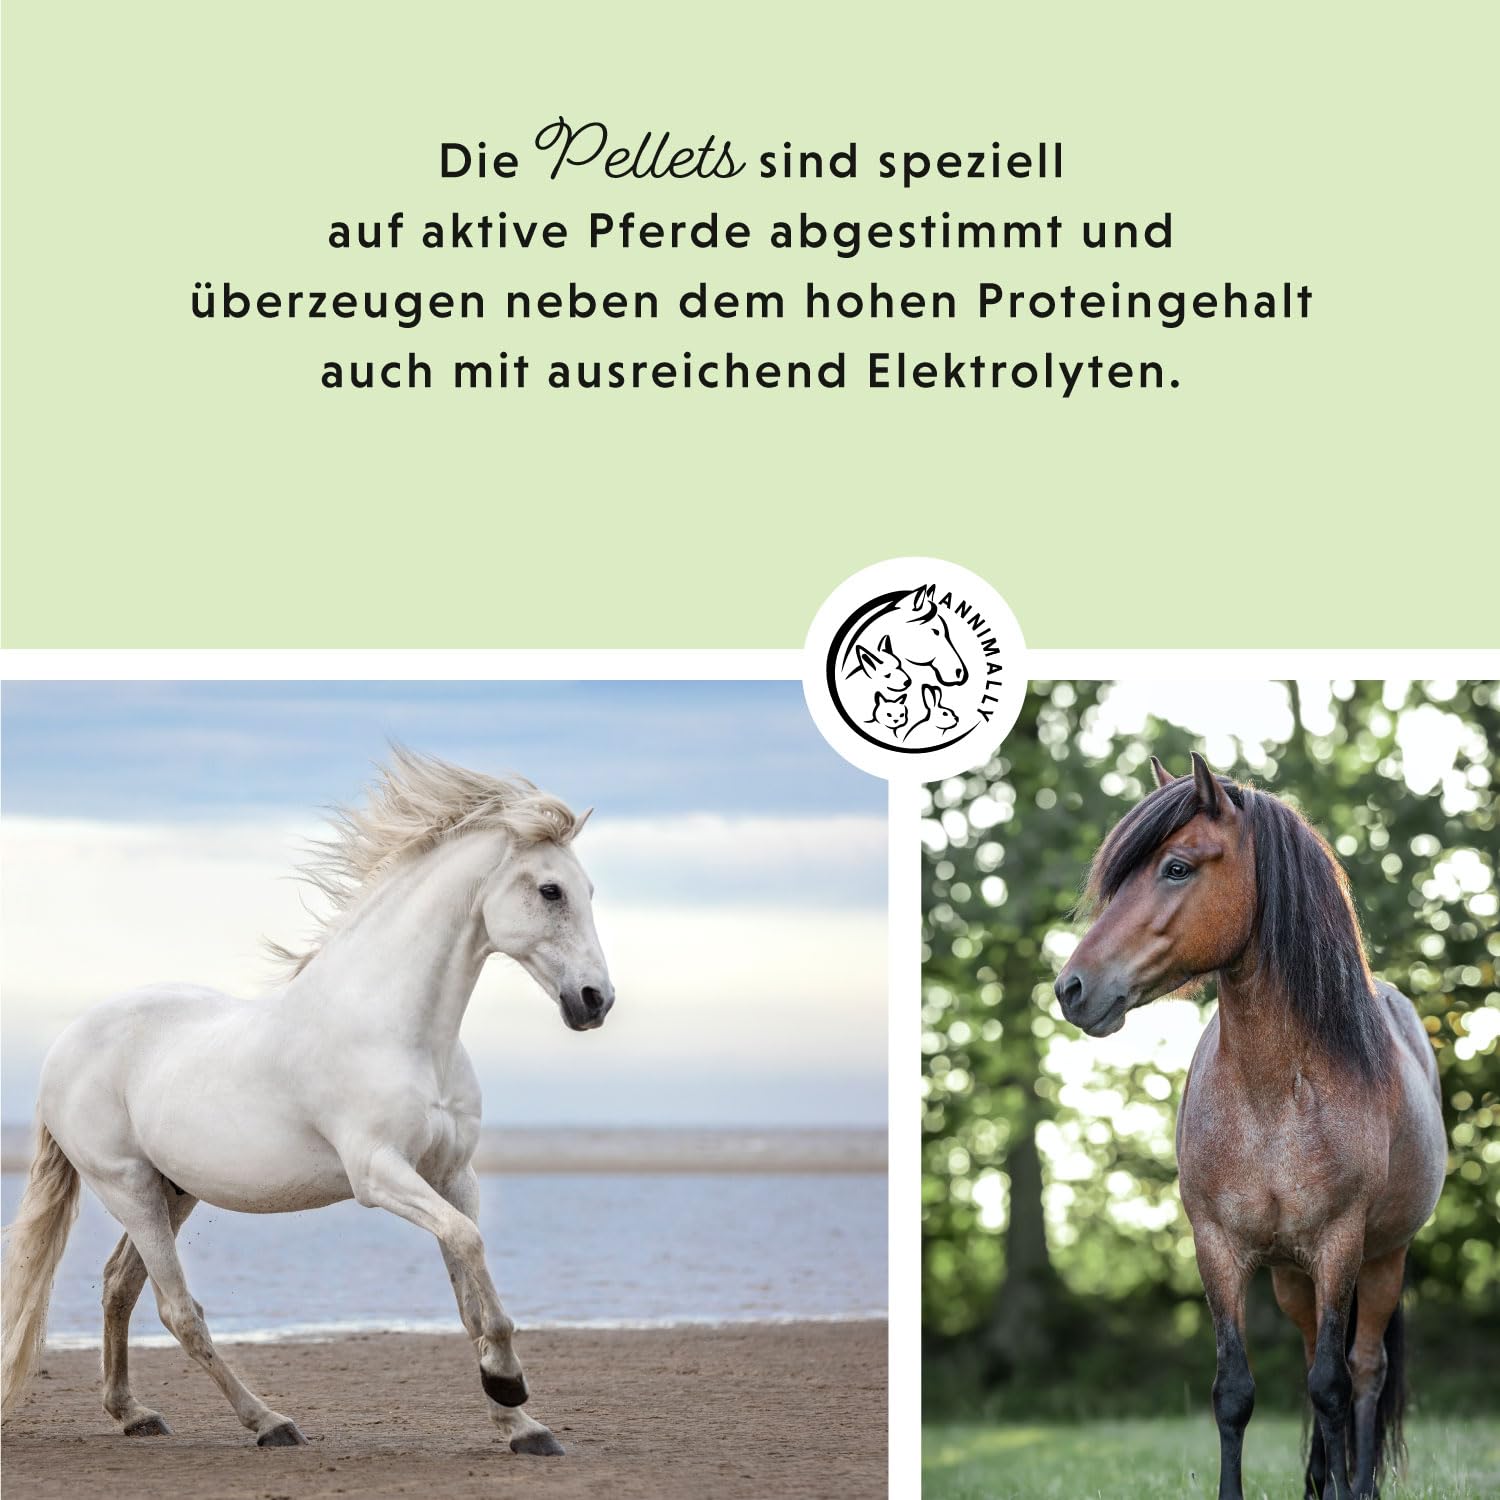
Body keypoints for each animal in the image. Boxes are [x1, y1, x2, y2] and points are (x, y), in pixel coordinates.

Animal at [1, 748, 615, 1458]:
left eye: (587, 891)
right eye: (550, 891)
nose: (596, 1001)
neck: (402, 1032)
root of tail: (65, 1044)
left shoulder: (453, 1176)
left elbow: (470, 1288)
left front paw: (522, 1426)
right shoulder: (380, 1174)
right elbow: (469, 1245)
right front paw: (509, 1385)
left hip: (171, 1190)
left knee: (119, 1288)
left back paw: (134, 1414)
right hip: (125, 1185)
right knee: (179, 1311)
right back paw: (269, 1422)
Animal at [1054, 753, 1445, 1500]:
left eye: (1177, 867)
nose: (1072, 989)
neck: (1272, 1101)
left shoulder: (1340, 1245)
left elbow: (1333, 1385)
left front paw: (1346, 1486)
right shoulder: (1218, 1247)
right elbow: (1234, 1392)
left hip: (1383, 1259)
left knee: (1363, 1372)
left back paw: (1355, 1484)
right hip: (1293, 1277)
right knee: (1315, 1357)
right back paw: (1319, 1483)